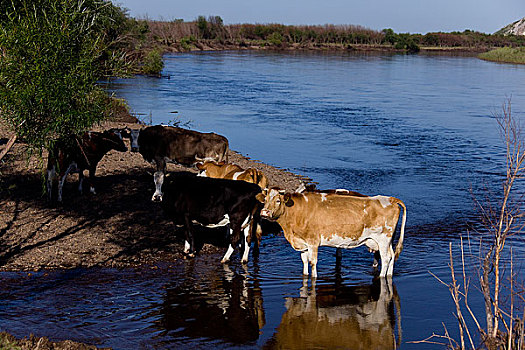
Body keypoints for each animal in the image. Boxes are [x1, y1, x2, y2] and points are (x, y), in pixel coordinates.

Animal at [256, 189, 408, 278]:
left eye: (278, 201)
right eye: (265, 201)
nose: (264, 212)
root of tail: (390, 199)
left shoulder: (313, 242)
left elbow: (313, 262)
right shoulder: (302, 243)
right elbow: (304, 261)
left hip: (383, 239)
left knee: (386, 258)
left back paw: (382, 277)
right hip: (387, 240)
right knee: (392, 256)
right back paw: (389, 275)